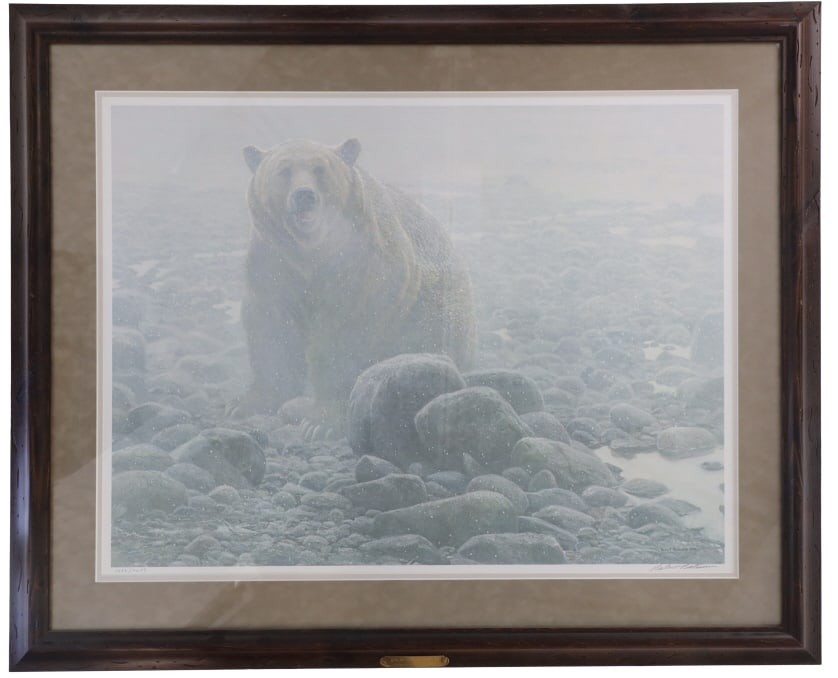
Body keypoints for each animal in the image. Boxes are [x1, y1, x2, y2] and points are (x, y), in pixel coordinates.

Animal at [232, 137, 477, 425]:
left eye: (320, 169)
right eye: (284, 170)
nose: (304, 196)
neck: (309, 253)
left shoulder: (362, 265)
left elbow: (344, 330)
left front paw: (322, 419)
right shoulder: (272, 261)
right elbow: (271, 326)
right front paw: (249, 403)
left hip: (435, 312)